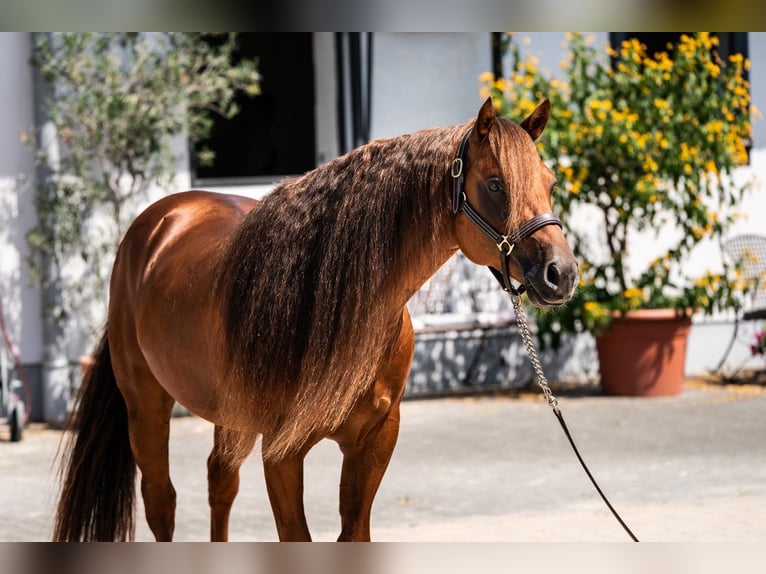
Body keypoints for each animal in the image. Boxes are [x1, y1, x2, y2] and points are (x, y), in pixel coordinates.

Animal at [53, 98, 578, 542]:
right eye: (495, 184)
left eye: (551, 183)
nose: (562, 274)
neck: (339, 308)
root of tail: (157, 222)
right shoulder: (282, 452)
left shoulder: (375, 440)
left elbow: (354, 534)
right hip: (146, 403)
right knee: (161, 503)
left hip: (229, 416)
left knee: (220, 484)